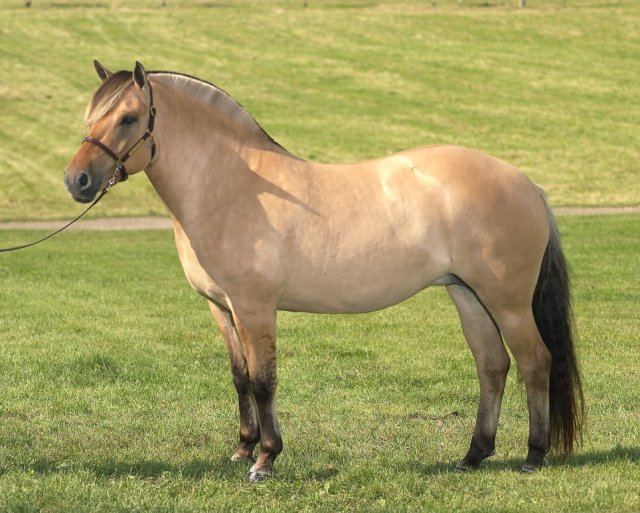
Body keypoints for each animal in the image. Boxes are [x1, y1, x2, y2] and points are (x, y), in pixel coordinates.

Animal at [65, 62, 584, 482]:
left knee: (534, 360)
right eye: (91, 118)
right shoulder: (222, 308)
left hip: (507, 301)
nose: (77, 181)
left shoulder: (255, 308)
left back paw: (533, 455)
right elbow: (239, 377)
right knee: (492, 365)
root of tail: (526, 183)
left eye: (128, 118)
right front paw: (241, 450)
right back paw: (473, 456)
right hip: (467, 295)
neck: (233, 187)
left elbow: (263, 381)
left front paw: (265, 461)